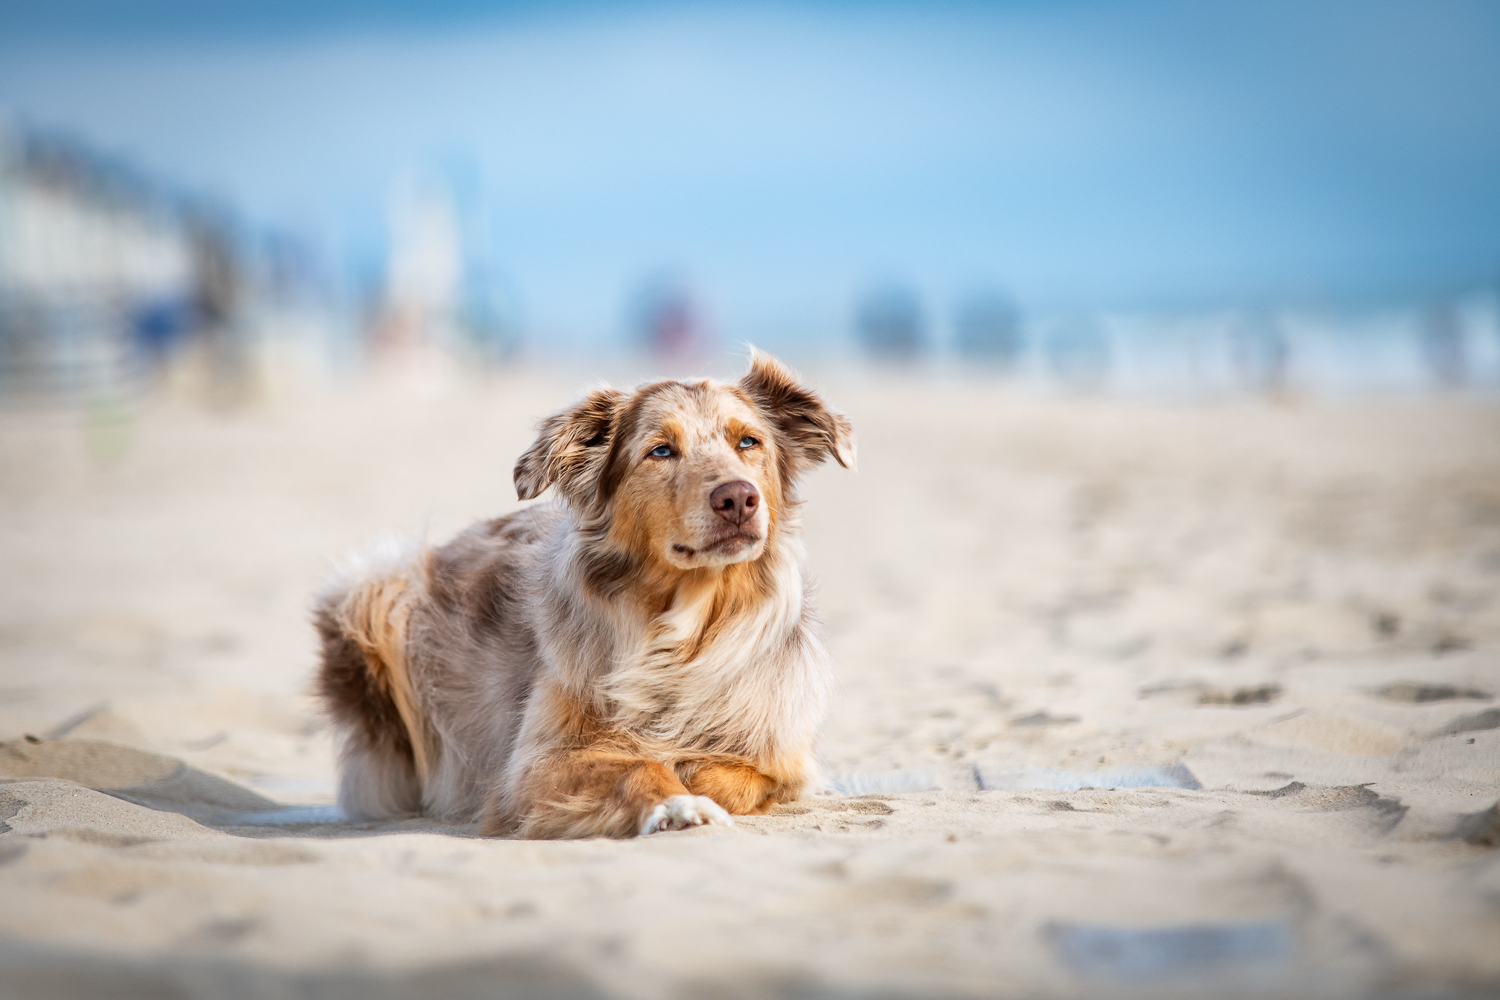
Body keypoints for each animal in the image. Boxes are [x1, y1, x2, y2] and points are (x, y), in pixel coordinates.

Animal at [313, 352, 858, 839]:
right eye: (661, 451)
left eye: (749, 441)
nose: (739, 498)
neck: (683, 634)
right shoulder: (530, 767)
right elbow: (637, 767)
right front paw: (677, 804)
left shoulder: (784, 758)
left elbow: (730, 774)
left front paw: (690, 773)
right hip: (376, 589)